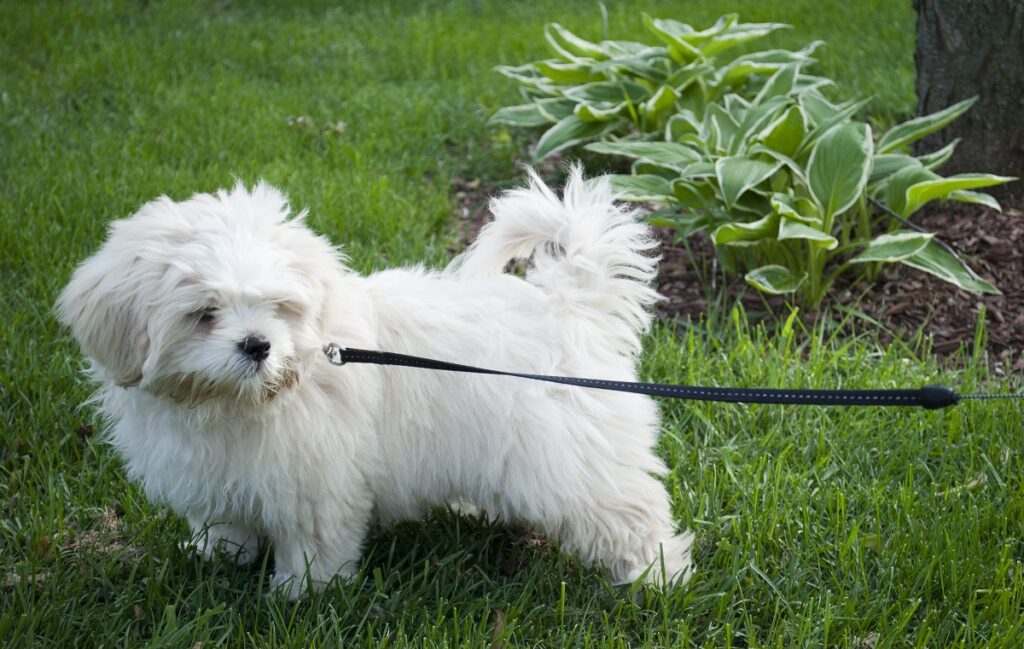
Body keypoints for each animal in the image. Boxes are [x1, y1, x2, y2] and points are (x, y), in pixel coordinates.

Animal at [58, 166, 696, 597]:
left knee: (627, 512)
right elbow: (226, 519)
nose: (258, 345)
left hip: (576, 461)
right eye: (204, 313)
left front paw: (302, 594)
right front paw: (219, 554)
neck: (242, 402)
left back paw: (658, 575)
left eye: (280, 307)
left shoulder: (314, 480)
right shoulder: (220, 472)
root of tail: (568, 301)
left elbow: (314, 540)